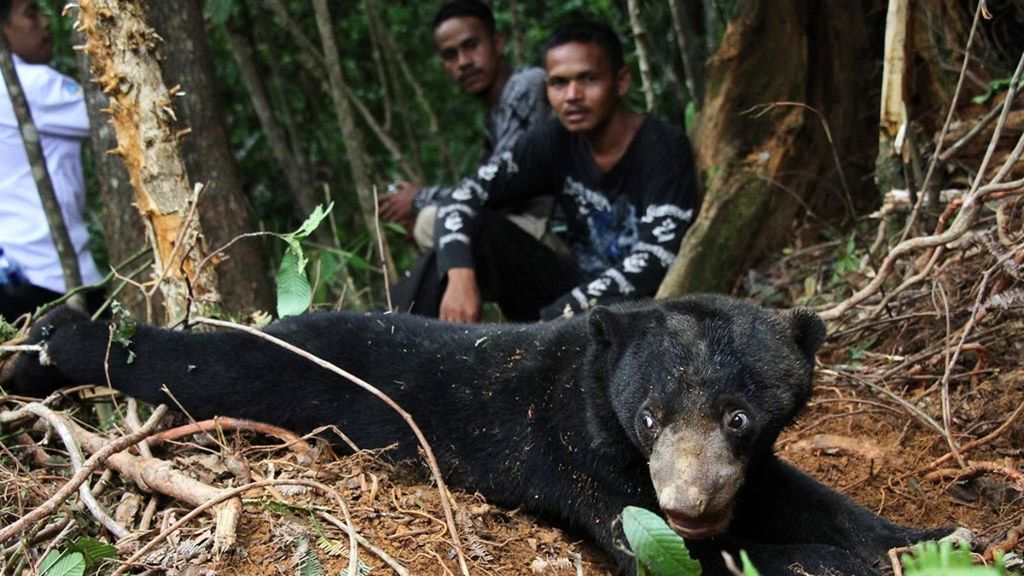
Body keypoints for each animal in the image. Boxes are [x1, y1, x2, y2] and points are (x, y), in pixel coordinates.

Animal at [6, 295, 950, 573]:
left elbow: (811, 497)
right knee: (196, 360)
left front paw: (925, 535)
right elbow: (653, 546)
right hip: (271, 371)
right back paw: (50, 344)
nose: (688, 501)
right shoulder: (578, 455)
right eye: (648, 417)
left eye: (740, 417)